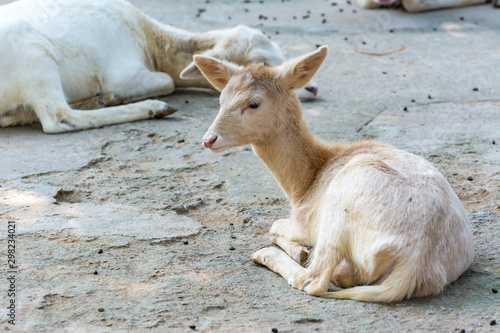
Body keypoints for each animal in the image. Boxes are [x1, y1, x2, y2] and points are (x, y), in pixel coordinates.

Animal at [0, 0, 316, 132]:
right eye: (260, 62)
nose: (312, 88)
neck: (150, 41)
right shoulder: (124, 74)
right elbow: (168, 80)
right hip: (33, 57)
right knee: (58, 119)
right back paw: (151, 108)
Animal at [193, 45, 474, 302]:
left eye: (253, 103)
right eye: (221, 100)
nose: (208, 139)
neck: (305, 183)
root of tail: (416, 262)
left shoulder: (305, 220)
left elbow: (274, 226)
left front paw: (299, 251)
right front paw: (300, 251)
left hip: (339, 205)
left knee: (315, 281)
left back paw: (269, 255)